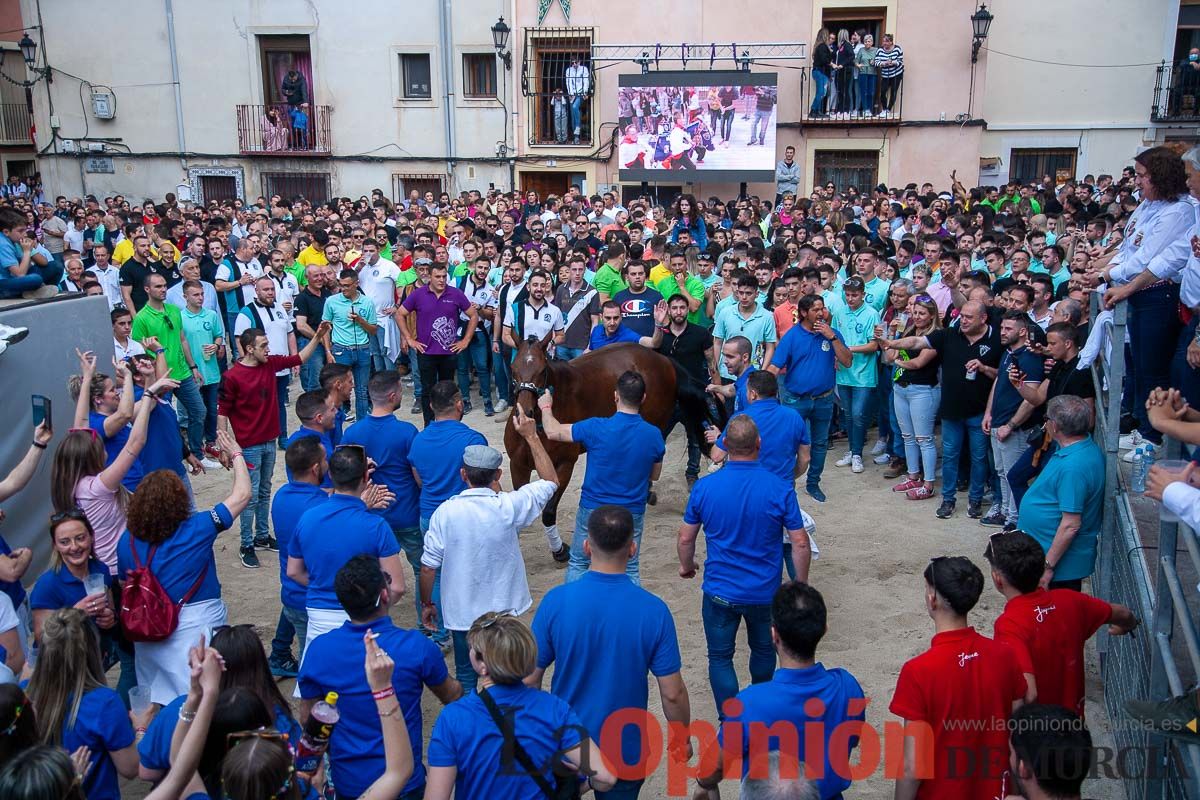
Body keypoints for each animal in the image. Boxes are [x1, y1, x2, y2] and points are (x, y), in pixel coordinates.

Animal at [501, 328, 715, 554]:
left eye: (542, 371)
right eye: (513, 368)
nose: (524, 413)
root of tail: (664, 359)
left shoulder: (564, 465)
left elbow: (549, 512)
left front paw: (559, 550)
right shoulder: (518, 465)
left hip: (656, 421)